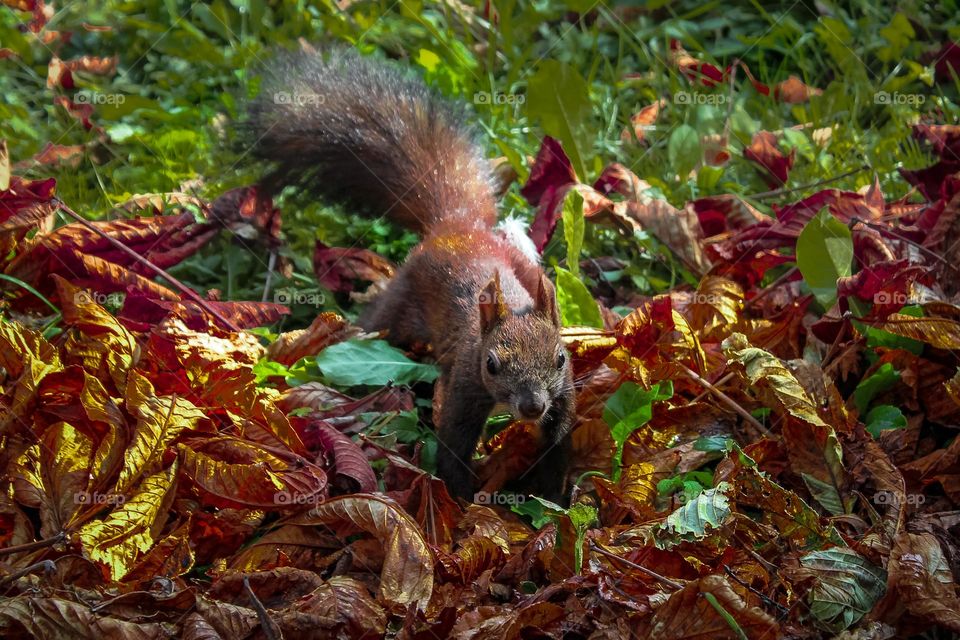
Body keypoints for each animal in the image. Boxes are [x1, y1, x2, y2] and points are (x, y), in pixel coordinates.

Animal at [244, 47, 572, 502]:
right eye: (491, 364)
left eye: (560, 357)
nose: (532, 406)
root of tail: (456, 225)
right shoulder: (466, 385)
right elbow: (453, 446)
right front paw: (463, 502)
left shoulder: (563, 395)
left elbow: (557, 444)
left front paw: (554, 496)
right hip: (398, 302)